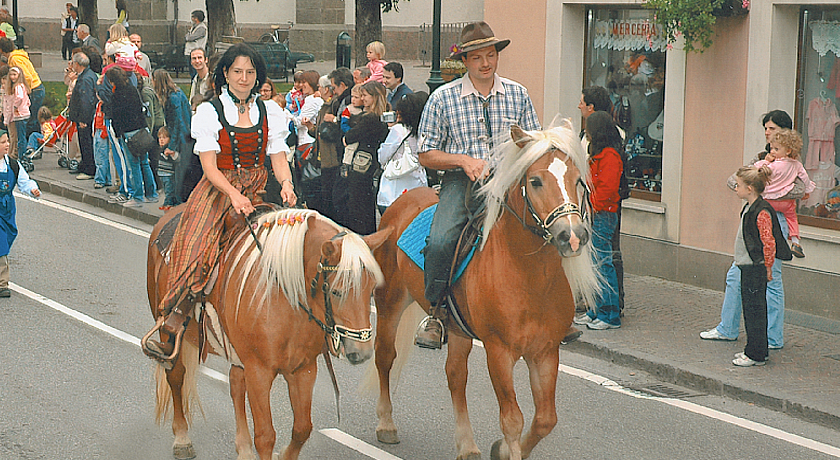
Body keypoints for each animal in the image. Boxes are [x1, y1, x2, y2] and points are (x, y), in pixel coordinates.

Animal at [146, 209, 388, 460]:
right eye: (336, 291)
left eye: (372, 290)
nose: (362, 352)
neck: (285, 298)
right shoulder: (259, 371)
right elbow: (265, 436)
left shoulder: (304, 369)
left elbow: (302, 428)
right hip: (167, 332)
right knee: (176, 376)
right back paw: (182, 438)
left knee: (235, 384)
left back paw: (243, 449)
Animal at [366, 122, 596, 460]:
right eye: (536, 181)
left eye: (577, 179)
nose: (573, 236)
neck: (529, 277)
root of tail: (400, 203)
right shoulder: (498, 351)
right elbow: (512, 419)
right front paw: (508, 448)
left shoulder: (545, 351)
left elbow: (545, 419)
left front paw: (501, 449)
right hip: (390, 302)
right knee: (384, 356)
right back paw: (385, 424)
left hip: (458, 329)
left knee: (455, 376)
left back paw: (467, 444)